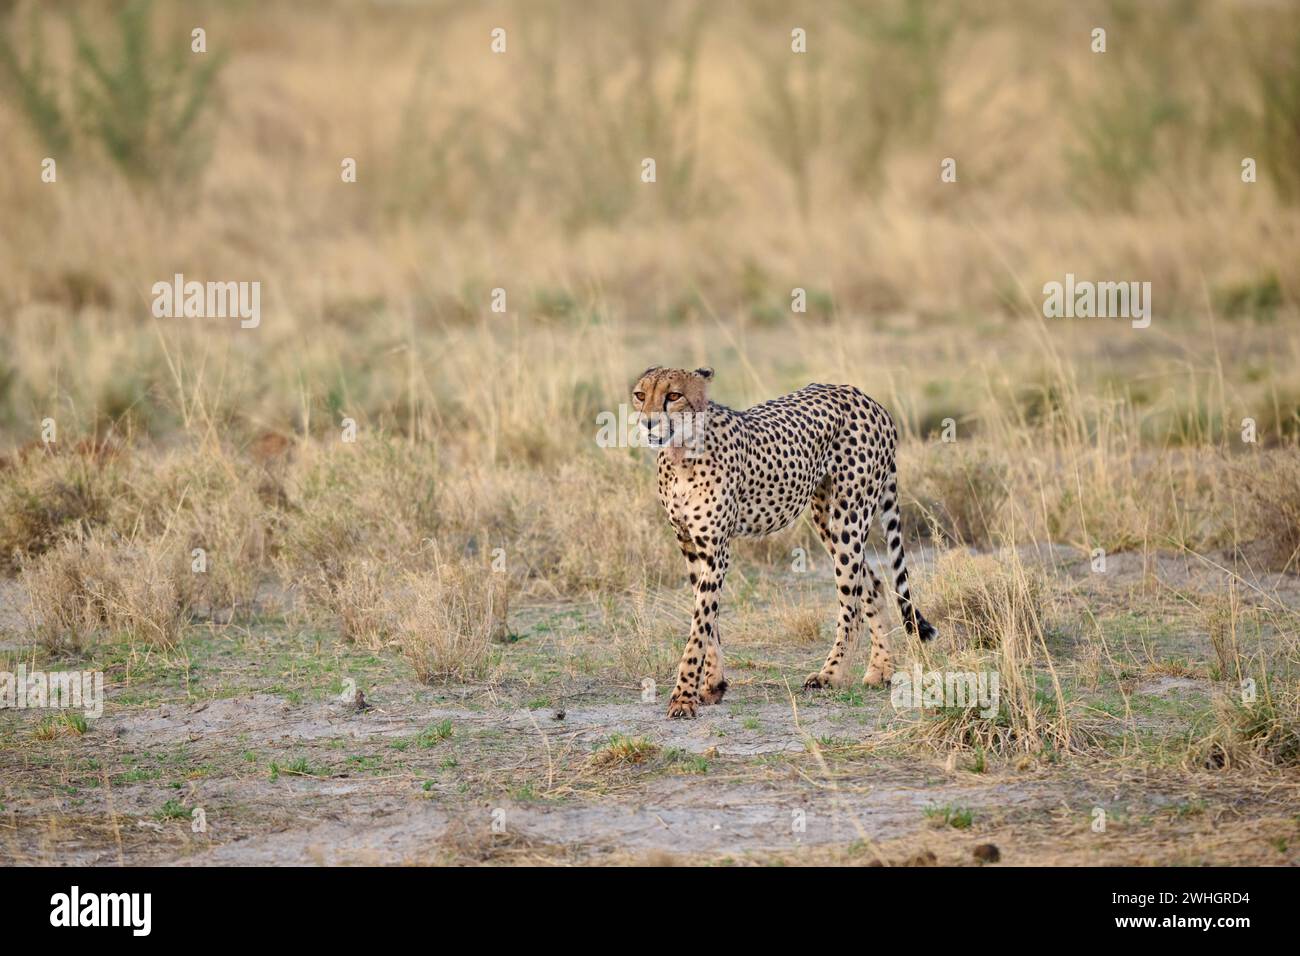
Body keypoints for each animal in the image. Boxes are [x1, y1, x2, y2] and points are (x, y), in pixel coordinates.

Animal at [631, 364, 930, 717]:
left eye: (674, 395)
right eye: (640, 395)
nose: (648, 422)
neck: (682, 453)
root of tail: (866, 397)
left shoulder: (716, 551)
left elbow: (700, 623)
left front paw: (683, 697)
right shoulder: (691, 546)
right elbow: (707, 620)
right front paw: (712, 685)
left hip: (849, 515)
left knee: (851, 603)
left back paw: (831, 674)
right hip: (826, 519)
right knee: (871, 584)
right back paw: (880, 669)